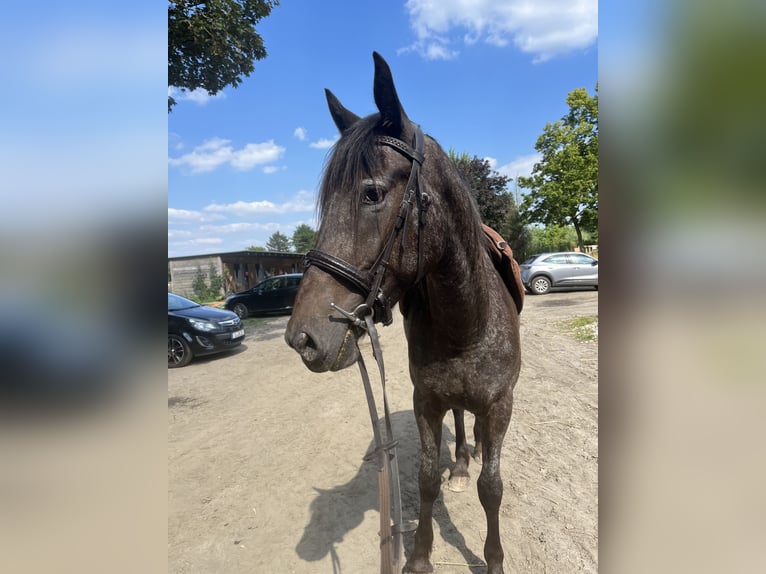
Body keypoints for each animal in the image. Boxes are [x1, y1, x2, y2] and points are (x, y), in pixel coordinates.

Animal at [284, 53, 524, 574]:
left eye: (371, 194)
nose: (302, 339)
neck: (466, 323)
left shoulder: (500, 405)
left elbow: (492, 488)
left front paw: (493, 558)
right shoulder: (426, 401)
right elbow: (427, 478)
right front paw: (417, 557)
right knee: (460, 421)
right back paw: (462, 461)